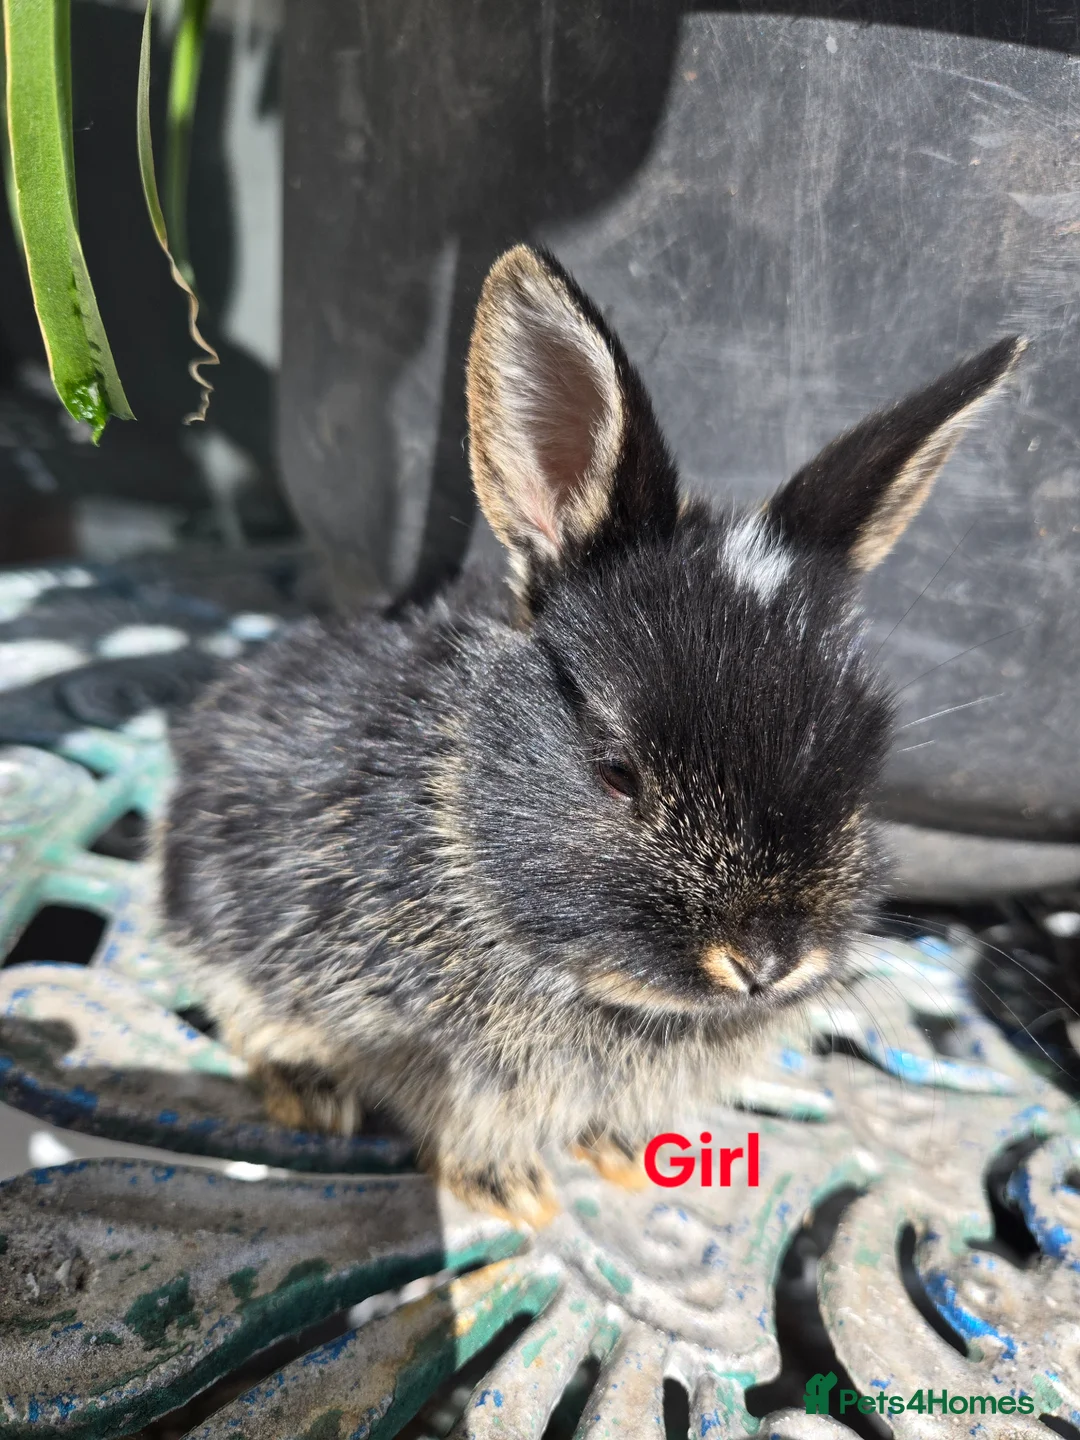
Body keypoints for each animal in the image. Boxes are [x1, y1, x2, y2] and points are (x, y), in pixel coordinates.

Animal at [161, 244, 1023, 1224]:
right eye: (616, 770)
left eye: (863, 767)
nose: (765, 962)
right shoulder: (455, 1064)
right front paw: (512, 1193)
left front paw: (619, 1154)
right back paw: (310, 1094)